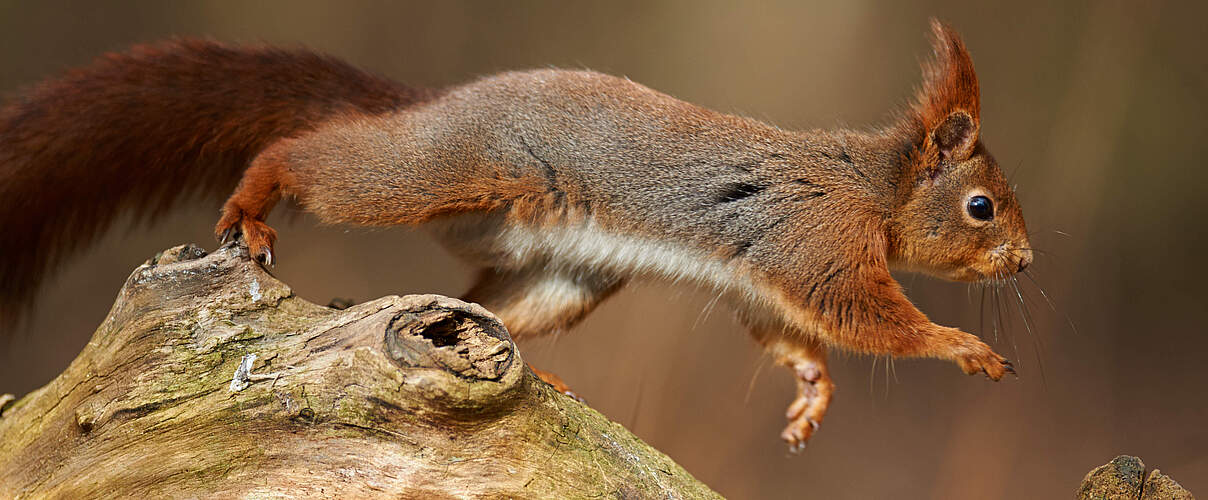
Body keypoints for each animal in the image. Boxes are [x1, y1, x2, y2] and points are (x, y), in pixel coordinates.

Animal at [0, 20, 1031, 451]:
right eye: (982, 207)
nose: (1026, 261)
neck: (875, 189)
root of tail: (435, 105)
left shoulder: (763, 271)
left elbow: (792, 333)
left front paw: (812, 394)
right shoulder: (818, 241)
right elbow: (869, 317)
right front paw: (965, 346)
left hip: (562, 277)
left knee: (483, 308)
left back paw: (547, 377)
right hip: (442, 174)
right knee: (309, 156)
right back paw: (253, 206)